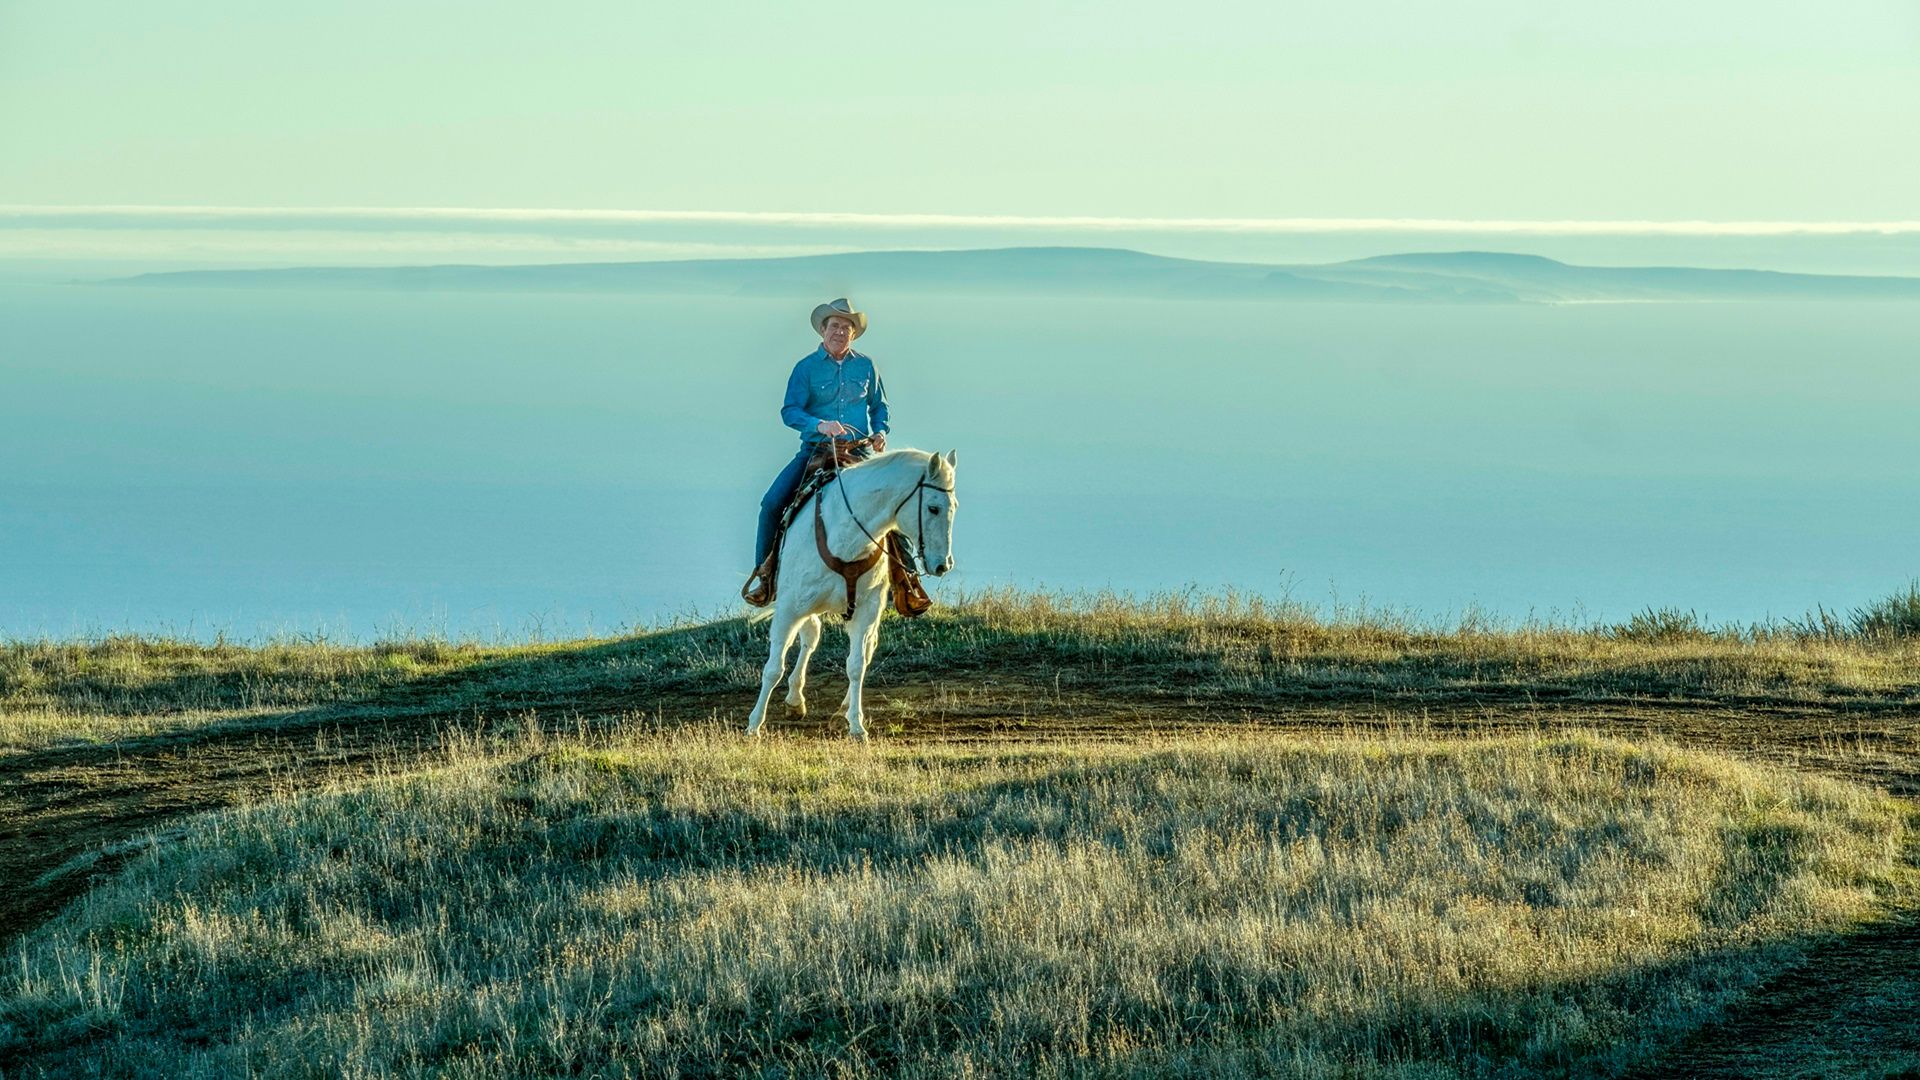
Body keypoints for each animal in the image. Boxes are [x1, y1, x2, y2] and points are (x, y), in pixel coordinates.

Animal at [748, 447, 960, 737]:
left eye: (954, 507)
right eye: (933, 508)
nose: (943, 565)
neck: (845, 538)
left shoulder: (866, 612)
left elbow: (856, 665)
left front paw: (857, 726)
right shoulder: (790, 609)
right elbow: (773, 668)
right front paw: (754, 724)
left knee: (858, 648)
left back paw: (835, 709)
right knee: (810, 635)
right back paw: (794, 699)